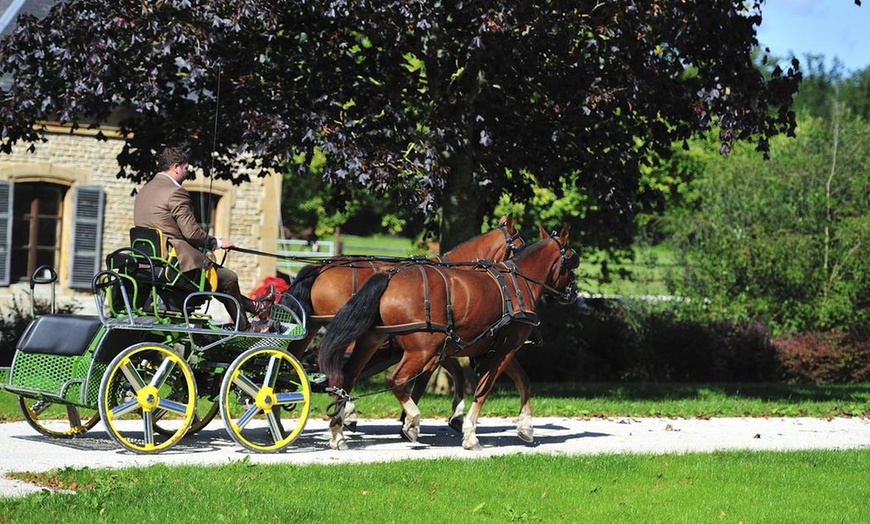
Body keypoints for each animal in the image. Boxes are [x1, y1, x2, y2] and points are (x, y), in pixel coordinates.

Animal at [280, 215, 528, 432]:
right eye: (519, 245)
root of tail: (320, 267)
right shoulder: (433, 345)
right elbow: (433, 377)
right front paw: (412, 420)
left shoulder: (439, 345)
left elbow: (454, 372)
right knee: (337, 372)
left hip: (313, 328)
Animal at [318, 226, 580, 450]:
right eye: (571, 261)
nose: (574, 292)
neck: (517, 285)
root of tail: (390, 276)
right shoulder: (505, 348)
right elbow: (484, 388)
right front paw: (470, 434)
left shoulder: (494, 347)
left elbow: (522, 381)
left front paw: (525, 427)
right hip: (422, 349)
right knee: (395, 379)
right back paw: (412, 420)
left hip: (372, 341)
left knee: (346, 378)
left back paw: (338, 430)